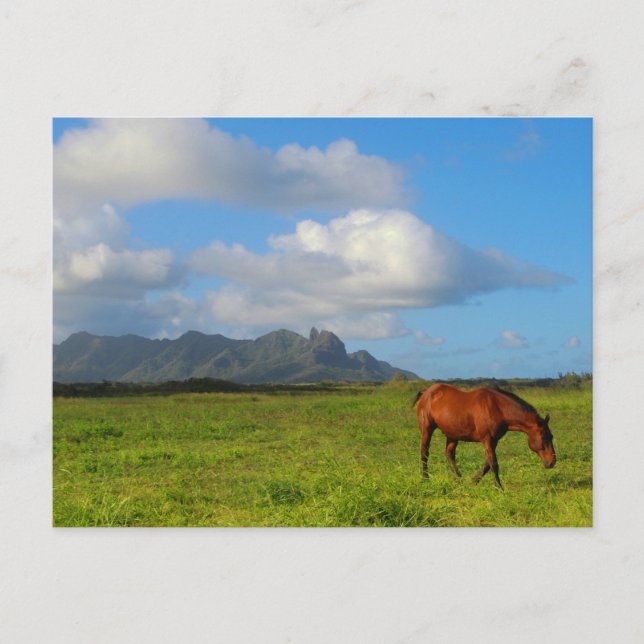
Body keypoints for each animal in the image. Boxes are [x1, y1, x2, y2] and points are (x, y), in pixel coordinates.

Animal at [411, 383, 556, 490]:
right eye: (544, 437)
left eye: (551, 436)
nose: (552, 462)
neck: (497, 407)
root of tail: (426, 392)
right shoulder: (487, 439)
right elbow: (493, 463)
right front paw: (499, 488)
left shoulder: (494, 441)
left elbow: (487, 464)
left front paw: (474, 481)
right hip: (427, 430)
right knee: (424, 453)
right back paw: (425, 478)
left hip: (452, 434)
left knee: (449, 454)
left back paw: (459, 480)